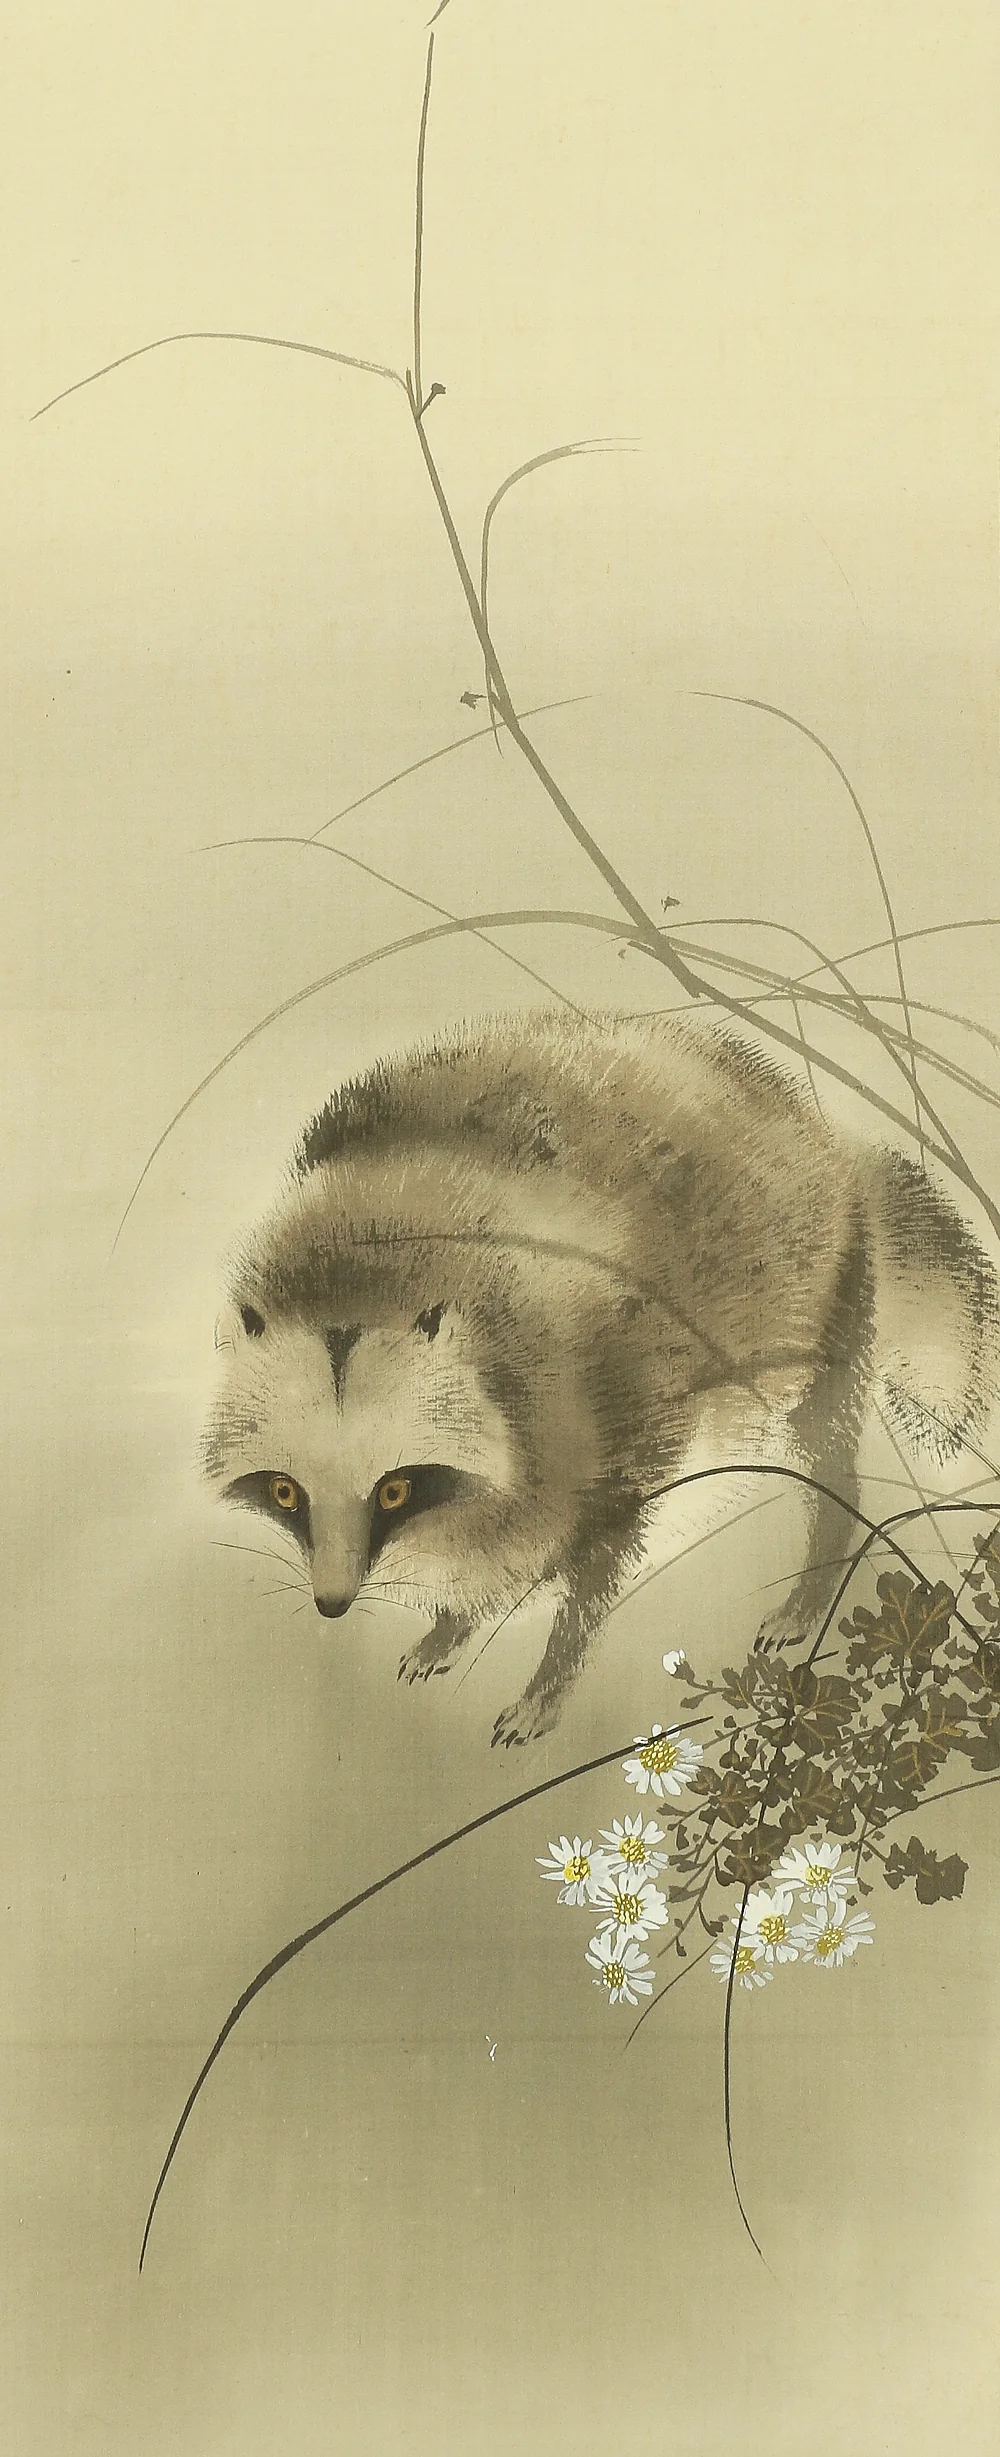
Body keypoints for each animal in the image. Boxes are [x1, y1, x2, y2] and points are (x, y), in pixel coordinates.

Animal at [202, 1010, 1000, 1744]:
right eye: (285, 1491)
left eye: (395, 1489)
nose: (333, 1603)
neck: (366, 1268)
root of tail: (833, 1140)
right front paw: (454, 1619)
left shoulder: (617, 1389)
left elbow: (591, 1562)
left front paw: (546, 1674)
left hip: (821, 1298)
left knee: (820, 1445)